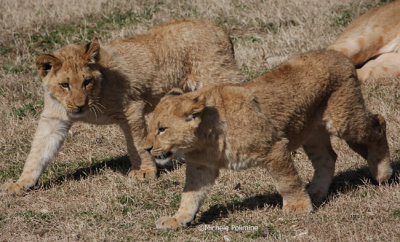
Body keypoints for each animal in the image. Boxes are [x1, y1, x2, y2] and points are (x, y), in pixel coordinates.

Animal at [1, 18, 242, 195]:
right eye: (65, 85)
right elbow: (38, 151)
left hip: (216, 80)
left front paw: (144, 172)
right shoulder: (54, 119)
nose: (79, 105)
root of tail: (220, 28)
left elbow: (137, 144)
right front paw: (20, 184)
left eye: (86, 81)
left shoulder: (132, 108)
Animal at [143, 49, 390, 229]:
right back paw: (316, 192)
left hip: (344, 119)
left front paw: (298, 208)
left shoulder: (274, 148)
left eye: (162, 129)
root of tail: (339, 54)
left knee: (379, 123)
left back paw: (382, 173)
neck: (206, 140)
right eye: (151, 128)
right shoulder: (200, 167)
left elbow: (286, 181)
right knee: (328, 158)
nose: (146, 148)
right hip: (312, 132)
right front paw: (177, 219)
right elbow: (190, 195)